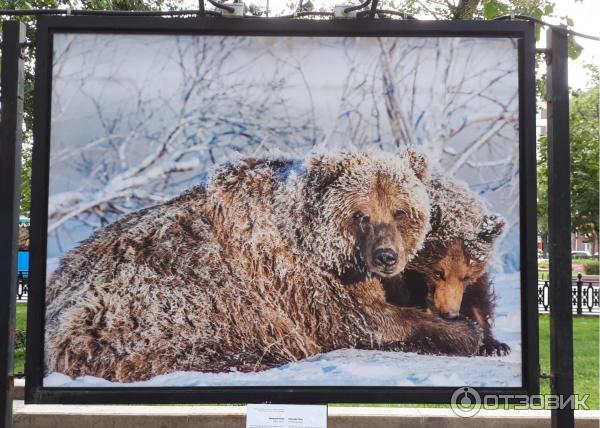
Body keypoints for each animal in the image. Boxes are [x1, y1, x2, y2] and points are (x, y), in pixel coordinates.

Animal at [45, 151, 482, 382]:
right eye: (361, 215)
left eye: (400, 211)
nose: (386, 256)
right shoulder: (293, 280)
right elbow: (360, 321)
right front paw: (466, 332)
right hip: (156, 305)